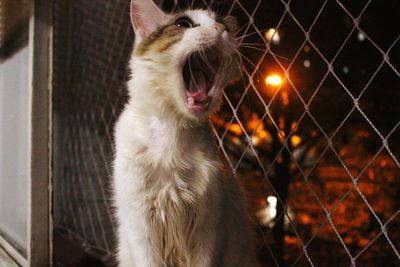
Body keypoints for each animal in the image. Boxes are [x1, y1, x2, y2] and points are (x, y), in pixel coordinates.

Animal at [112, 0, 260, 266]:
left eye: (223, 26)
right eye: (183, 24)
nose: (219, 29)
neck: (171, 130)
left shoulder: (209, 228)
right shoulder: (140, 225)